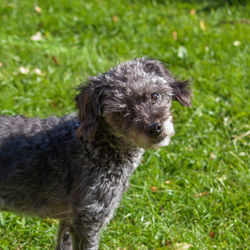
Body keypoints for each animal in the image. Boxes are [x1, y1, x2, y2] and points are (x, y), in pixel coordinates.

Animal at [0, 57, 191, 250]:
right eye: (122, 111)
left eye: (154, 96)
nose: (155, 127)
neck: (96, 149)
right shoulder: (88, 219)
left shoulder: (69, 220)